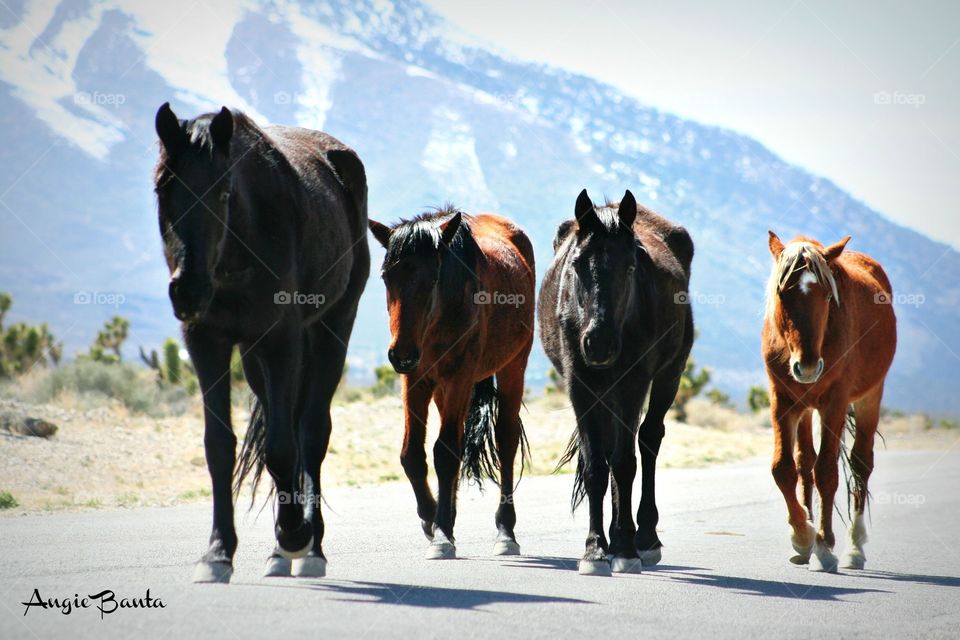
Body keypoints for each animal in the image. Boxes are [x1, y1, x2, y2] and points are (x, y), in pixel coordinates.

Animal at [153, 103, 369, 583]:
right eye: (162, 189)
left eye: (223, 194)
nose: (188, 290)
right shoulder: (206, 342)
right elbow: (219, 446)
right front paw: (217, 553)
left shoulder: (281, 340)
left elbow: (283, 447)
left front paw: (295, 535)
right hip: (253, 359)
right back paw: (278, 549)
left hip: (331, 329)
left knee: (311, 432)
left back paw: (310, 547)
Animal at [368, 207, 534, 559]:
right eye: (387, 277)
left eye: (433, 278)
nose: (401, 353)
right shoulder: (415, 380)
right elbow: (412, 454)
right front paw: (432, 519)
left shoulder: (459, 375)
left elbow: (445, 453)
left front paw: (442, 533)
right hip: (442, 389)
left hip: (513, 366)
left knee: (506, 440)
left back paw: (506, 531)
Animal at [539, 189, 694, 576]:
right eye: (577, 264)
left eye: (630, 267)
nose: (599, 343)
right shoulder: (580, 386)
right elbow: (597, 465)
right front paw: (595, 549)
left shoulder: (634, 383)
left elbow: (625, 464)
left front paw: (624, 548)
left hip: (669, 376)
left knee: (649, 441)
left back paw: (645, 537)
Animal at [763, 231, 896, 573]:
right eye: (783, 292)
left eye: (826, 296)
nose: (808, 366)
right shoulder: (782, 401)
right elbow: (784, 469)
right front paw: (802, 537)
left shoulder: (835, 403)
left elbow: (827, 472)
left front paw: (823, 545)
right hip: (806, 407)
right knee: (804, 463)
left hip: (870, 396)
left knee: (860, 464)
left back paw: (854, 549)